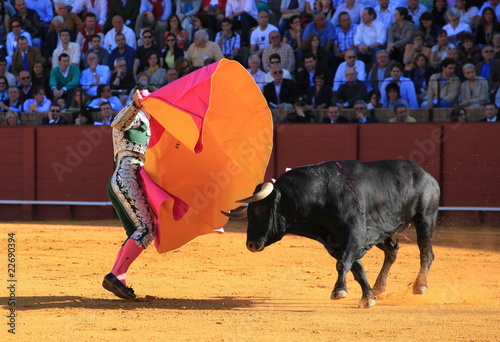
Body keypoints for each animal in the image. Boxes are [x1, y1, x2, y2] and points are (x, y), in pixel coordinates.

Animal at [225, 160, 440, 308]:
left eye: (260, 209)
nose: (251, 244)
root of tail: (427, 175)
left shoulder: (354, 235)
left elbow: (343, 263)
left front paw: (339, 291)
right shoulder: (334, 242)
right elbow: (356, 267)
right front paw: (369, 297)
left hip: (425, 218)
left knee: (426, 253)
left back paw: (420, 286)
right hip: (387, 229)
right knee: (392, 252)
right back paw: (380, 287)